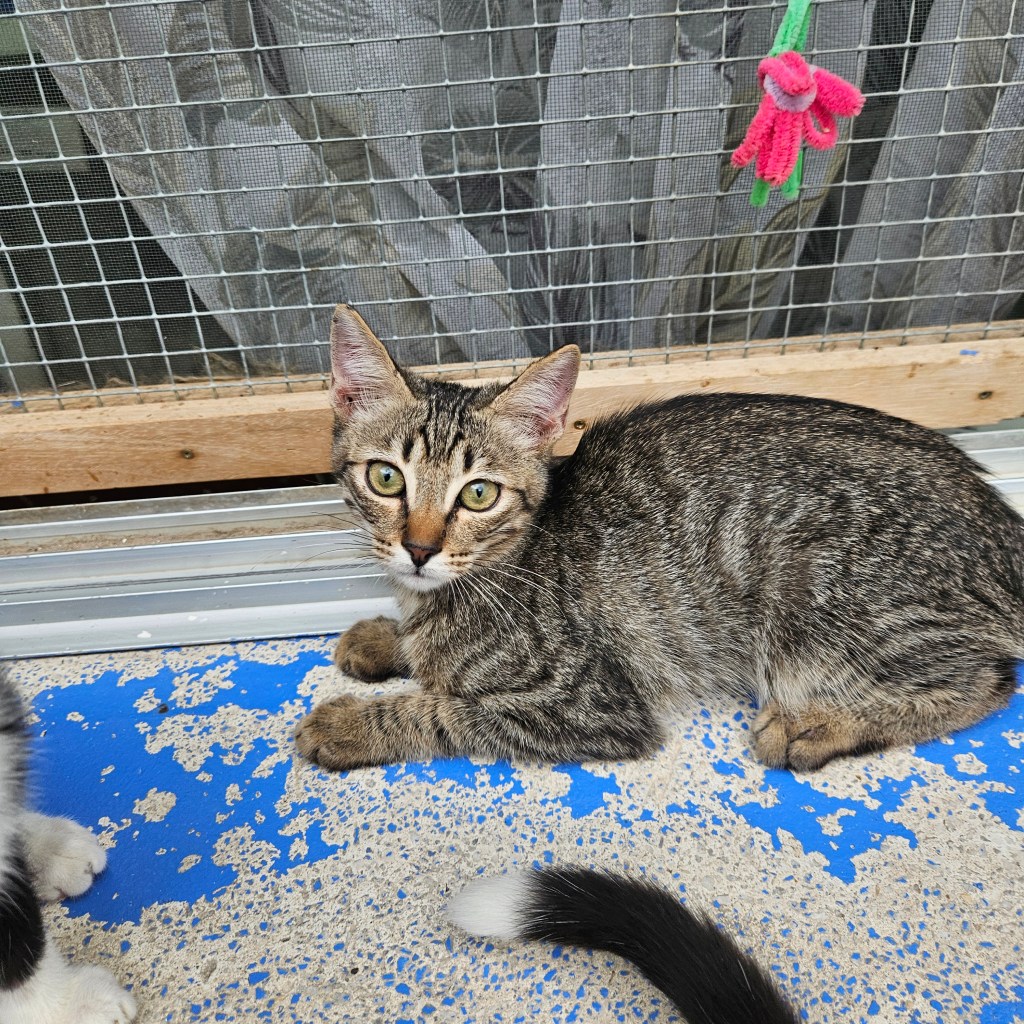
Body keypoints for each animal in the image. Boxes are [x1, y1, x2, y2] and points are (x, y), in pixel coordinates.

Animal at [295, 303, 1024, 773]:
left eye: (478, 494)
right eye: (387, 478)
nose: (419, 549)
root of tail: (996, 516)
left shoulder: (591, 704)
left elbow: (445, 710)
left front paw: (351, 722)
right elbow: (425, 653)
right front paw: (386, 637)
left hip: (819, 613)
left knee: (987, 683)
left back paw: (815, 728)